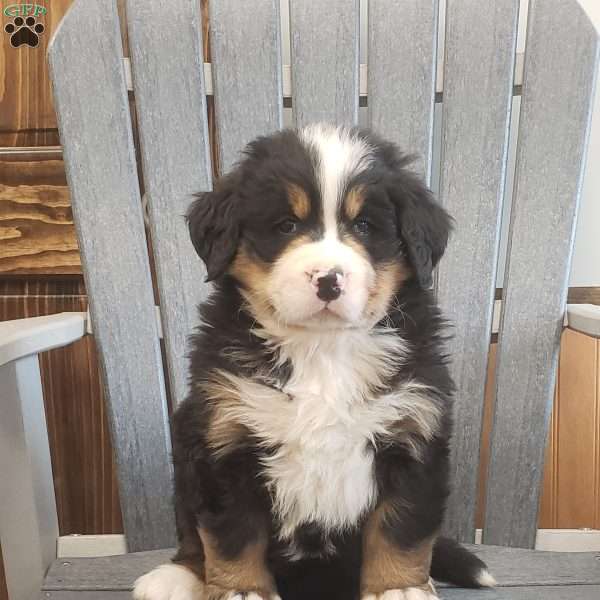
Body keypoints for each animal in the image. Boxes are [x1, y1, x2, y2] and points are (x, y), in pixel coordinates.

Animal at [134, 123, 494, 600]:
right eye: (286, 225)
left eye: (364, 225)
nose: (328, 279)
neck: (322, 350)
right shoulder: (225, 440)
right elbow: (231, 534)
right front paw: (241, 590)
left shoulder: (413, 437)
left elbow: (401, 529)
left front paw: (398, 588)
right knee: (191, 536)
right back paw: (176, 576)